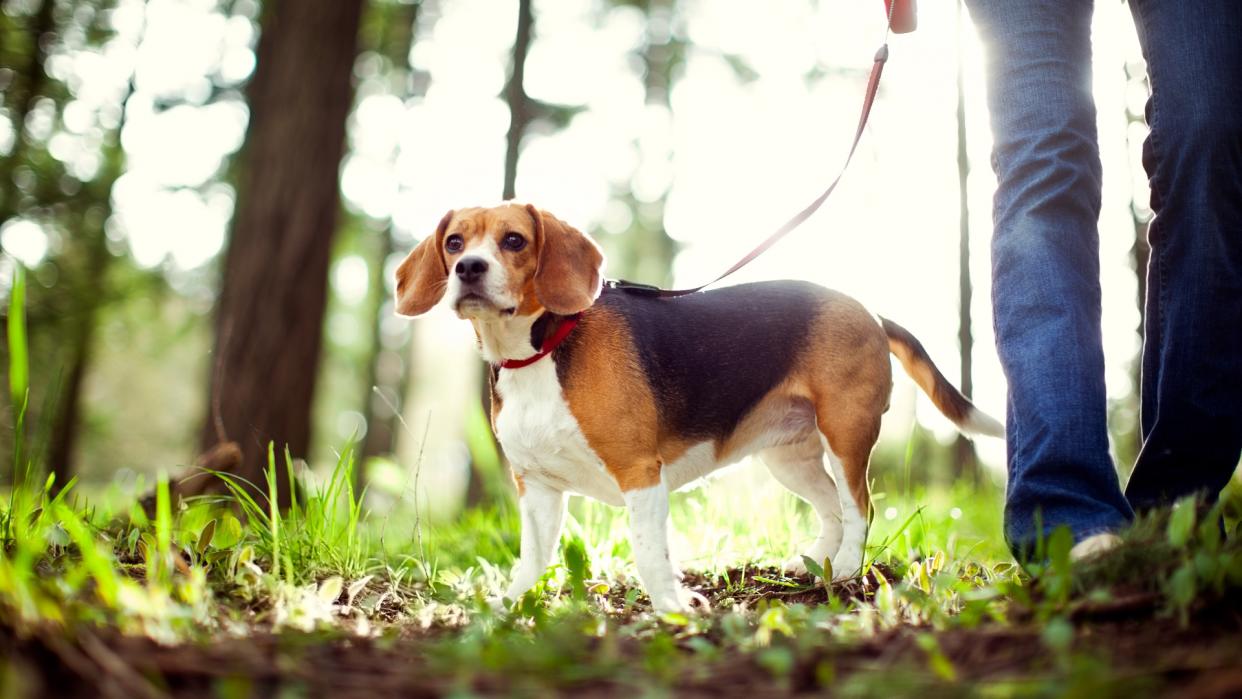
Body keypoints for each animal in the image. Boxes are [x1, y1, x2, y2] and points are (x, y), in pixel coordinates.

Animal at [397, 201, 1008, 613]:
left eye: (514, 240)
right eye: (455, 243)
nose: (469, 270)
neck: (540, 349)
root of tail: (870, 311)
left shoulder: (640, 475)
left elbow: (649, 553)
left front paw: (672, 610)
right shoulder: (538, 488)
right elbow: (532, 558)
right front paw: (511, 605)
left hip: (846, 432)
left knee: (859, 508)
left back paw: (847, 572)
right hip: (789, 458)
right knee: (832, 509)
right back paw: (818, 565)